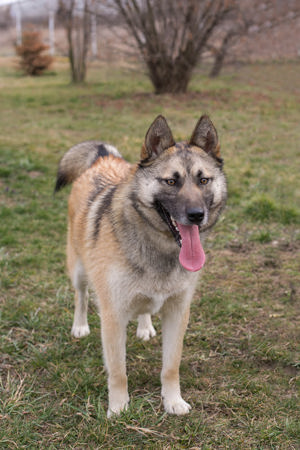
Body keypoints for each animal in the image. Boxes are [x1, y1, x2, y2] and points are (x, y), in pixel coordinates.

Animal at [55, 114, 226, 416]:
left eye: (204, 180)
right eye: (171, 181)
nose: (197, 215)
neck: (159, 247)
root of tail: (103, 158)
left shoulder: (178, 312)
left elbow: (171, 366)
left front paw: (172, 401)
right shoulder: (113, 316)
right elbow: (118, 371)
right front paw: (118, 408)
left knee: (144, 307)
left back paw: (145, 327)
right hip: (78, 269)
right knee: (81, 295)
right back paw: (80, 326)